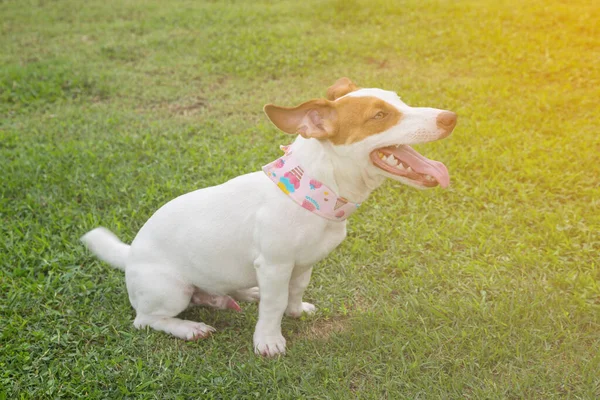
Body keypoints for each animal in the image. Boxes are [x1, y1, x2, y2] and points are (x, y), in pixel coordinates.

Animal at [79, 77, 454, 356]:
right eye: (379, 115)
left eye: (400, 101)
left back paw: (242, 294)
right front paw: (269, 341)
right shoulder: (275, 264)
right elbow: (274, 306)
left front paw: (295, 311)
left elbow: (294, 292)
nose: (450, 117)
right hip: (171, 290)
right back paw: (189, 327)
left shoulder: (302, 264)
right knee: (147, 319)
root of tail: (130, 255)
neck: (311, 191)